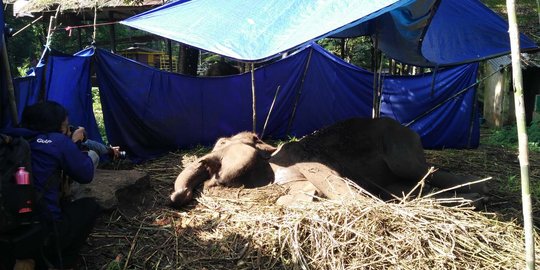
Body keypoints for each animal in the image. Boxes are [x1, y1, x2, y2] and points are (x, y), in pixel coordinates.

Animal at [170, 117, 490, 208]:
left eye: (222, 144)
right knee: (406, 188)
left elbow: (341, 190)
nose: (177, 197)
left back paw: (480, 193)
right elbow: (292, 197)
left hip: (400, 147)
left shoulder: (306, 160)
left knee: (424, 172)